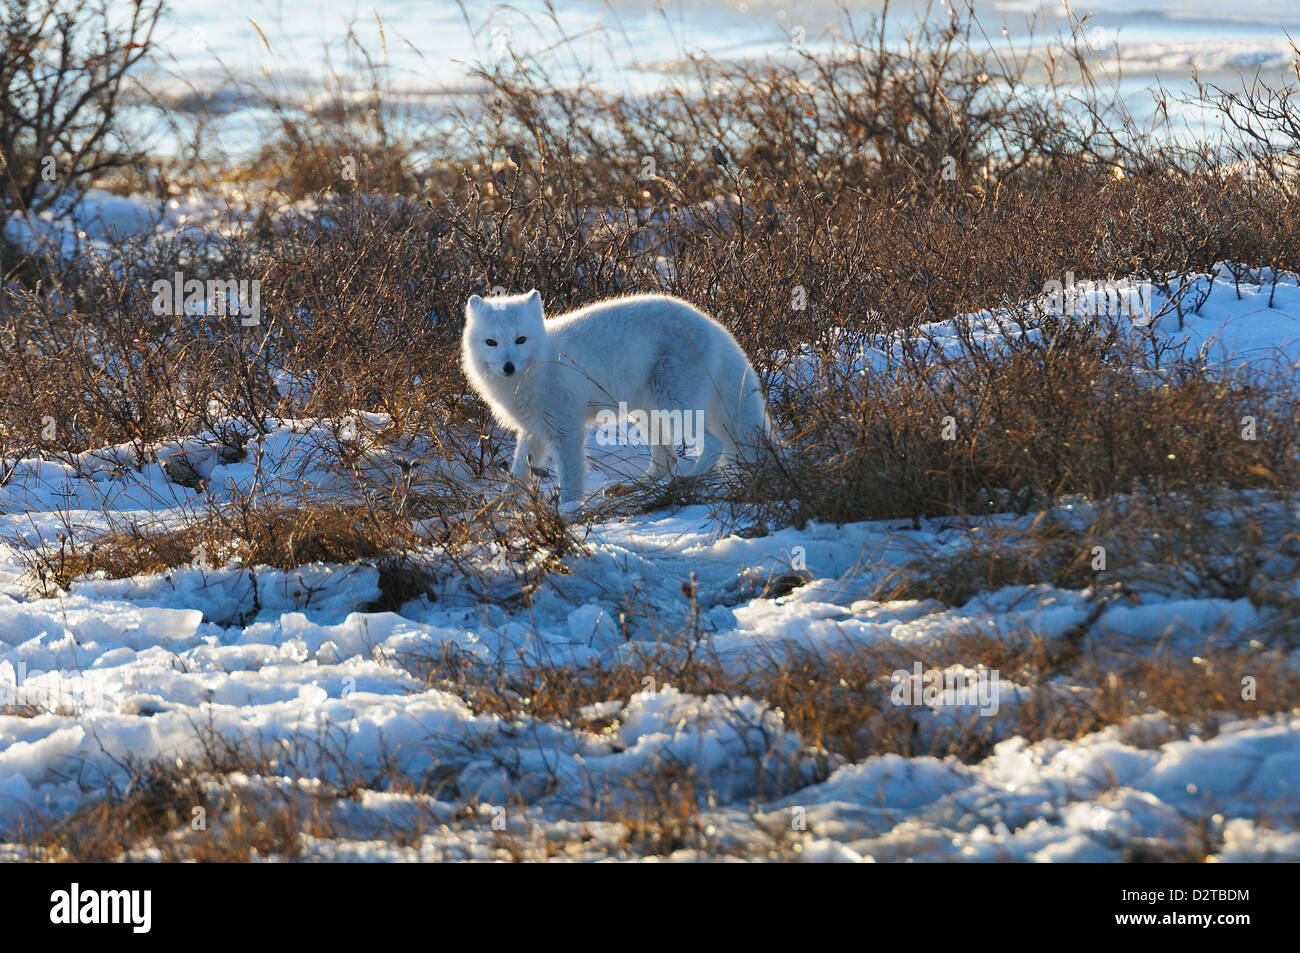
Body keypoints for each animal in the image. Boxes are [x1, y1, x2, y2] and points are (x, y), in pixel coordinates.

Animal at [462, 289, 769, 501]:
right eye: (491, 342)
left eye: (520, 340)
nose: (508, 366)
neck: (541, 364)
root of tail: (714, 325)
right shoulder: (534, 430)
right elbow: (518, 474)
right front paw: (499, 510)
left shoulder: (566, 430)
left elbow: (570, 480)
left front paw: (566, 513)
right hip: (646, 412)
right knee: (666, 458)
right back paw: (634, 487)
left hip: (673, 406)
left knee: (713, 444)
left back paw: (685, 482)